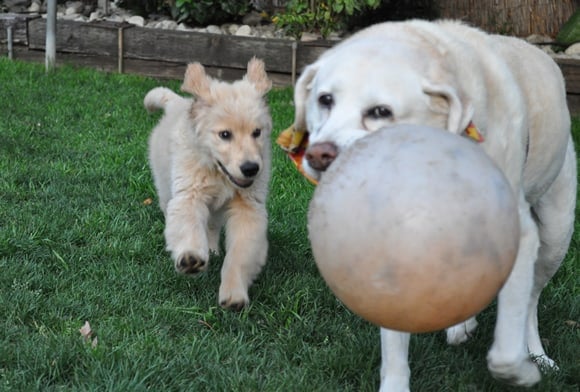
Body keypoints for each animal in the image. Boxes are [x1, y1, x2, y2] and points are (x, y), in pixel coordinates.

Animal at [145, 58, 272, 310]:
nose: (251, 168)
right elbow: (188, 229)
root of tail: (177, 102)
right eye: (225, 134)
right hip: (164, 185)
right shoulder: (189, 195)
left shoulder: (248, 209)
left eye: (257, 132)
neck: (218, 172)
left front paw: (234, 292)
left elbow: (239, 254)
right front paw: (190, 257)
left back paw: (212, 249)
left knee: (212, 225)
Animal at [290, 19, 576, 392]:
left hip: (554, 235)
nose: (319, 155)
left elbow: (506, 347)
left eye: (381, 112)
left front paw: (520, 372)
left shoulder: (521, 235)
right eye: (325, 100)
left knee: (529, 303)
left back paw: (536, 355)